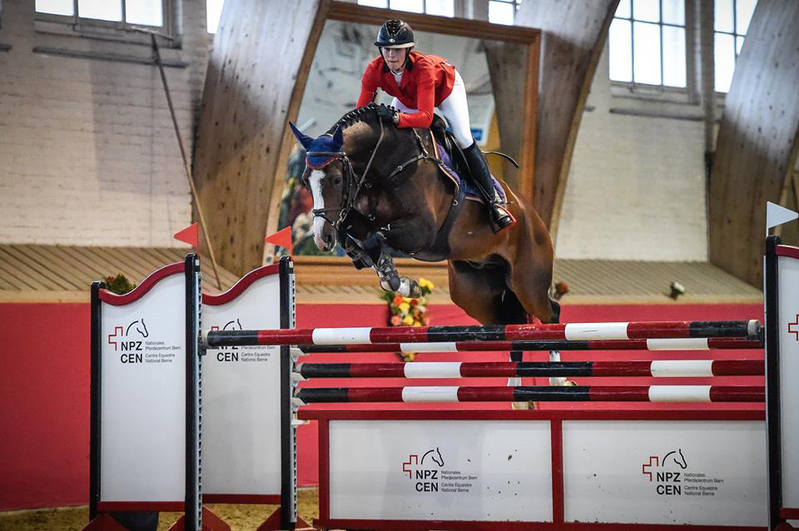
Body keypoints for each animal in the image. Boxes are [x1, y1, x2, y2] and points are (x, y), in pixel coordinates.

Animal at [288, 103, 559, 331]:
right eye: (305, 181)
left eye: (336, 179)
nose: (322, 239)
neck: (387, 163)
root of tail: (536, 219)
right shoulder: (359, 217)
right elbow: (354, 233)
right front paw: (384, 271)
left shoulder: (420, 232)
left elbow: (375, 238)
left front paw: (397, 280)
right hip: (475, 294)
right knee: (507, 321)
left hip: (528, 284)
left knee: (551, 312)